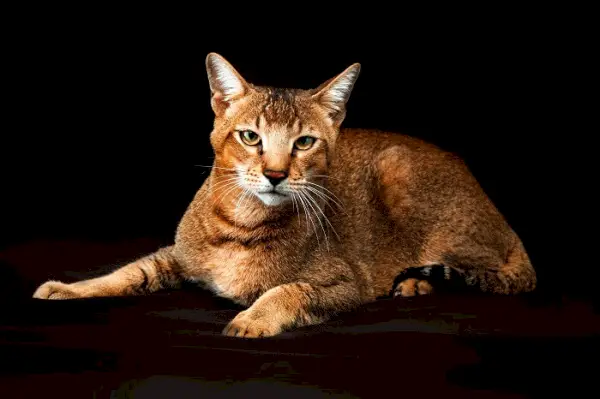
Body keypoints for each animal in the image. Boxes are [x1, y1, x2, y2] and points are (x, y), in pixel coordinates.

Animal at [32, 53, 536, 340]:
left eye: (304, 143)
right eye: (250, 136)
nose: (275, 174)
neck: (241, 224)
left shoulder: (346, 284)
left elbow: (288, 289)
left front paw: (253, 318)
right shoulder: (178, 255)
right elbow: (126, 272)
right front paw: (69, 289)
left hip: (405, 180)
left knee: (480, 268)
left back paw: (417, 282)